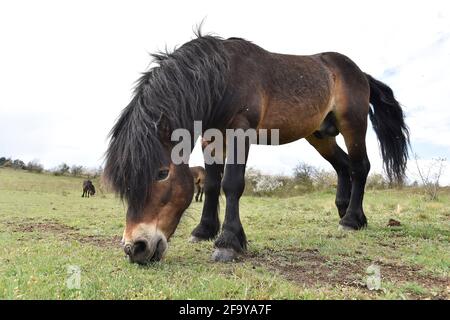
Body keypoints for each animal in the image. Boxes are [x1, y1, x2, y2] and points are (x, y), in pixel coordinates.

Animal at [103, 31, 410, 264]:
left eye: (161, 173)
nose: (135, 248)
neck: (223, 78)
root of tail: (359, 72)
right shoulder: (211, 138)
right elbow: (212, 185)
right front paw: (204, 230)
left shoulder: (241, 131)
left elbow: (231, 184)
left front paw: (227, 242)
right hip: (320, 136)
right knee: (344, 166)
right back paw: (343, 211)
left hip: (353, 125)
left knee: (360, 167)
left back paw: (352, 220)